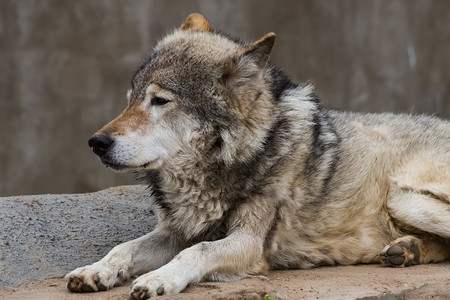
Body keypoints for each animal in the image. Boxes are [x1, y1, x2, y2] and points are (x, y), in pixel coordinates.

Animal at [66, 12, 450, 298]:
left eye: (159, 101)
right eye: (129, 100)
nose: (97, 142)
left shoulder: (248, 242)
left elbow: (198, 251)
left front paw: (159, 279)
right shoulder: (178, 230)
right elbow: (125, 248)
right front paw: (94, 271)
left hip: (403, 198)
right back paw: (407, 250)